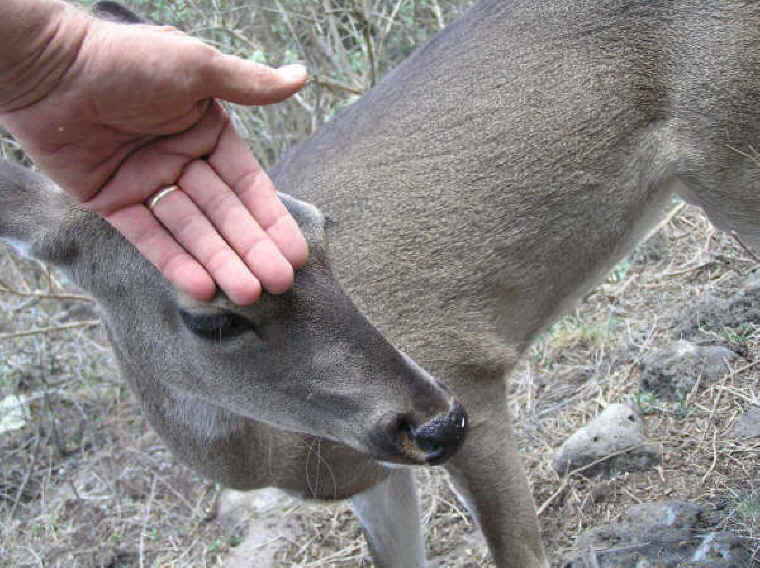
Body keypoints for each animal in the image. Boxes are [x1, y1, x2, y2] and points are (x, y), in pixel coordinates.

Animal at [3, 0, 760, 566]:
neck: (282, 451)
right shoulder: (374, 473)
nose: (437, 422)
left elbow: (519, 551)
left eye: (320, 229)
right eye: (213, 317)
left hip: (732, 151)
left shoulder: (466, 366)